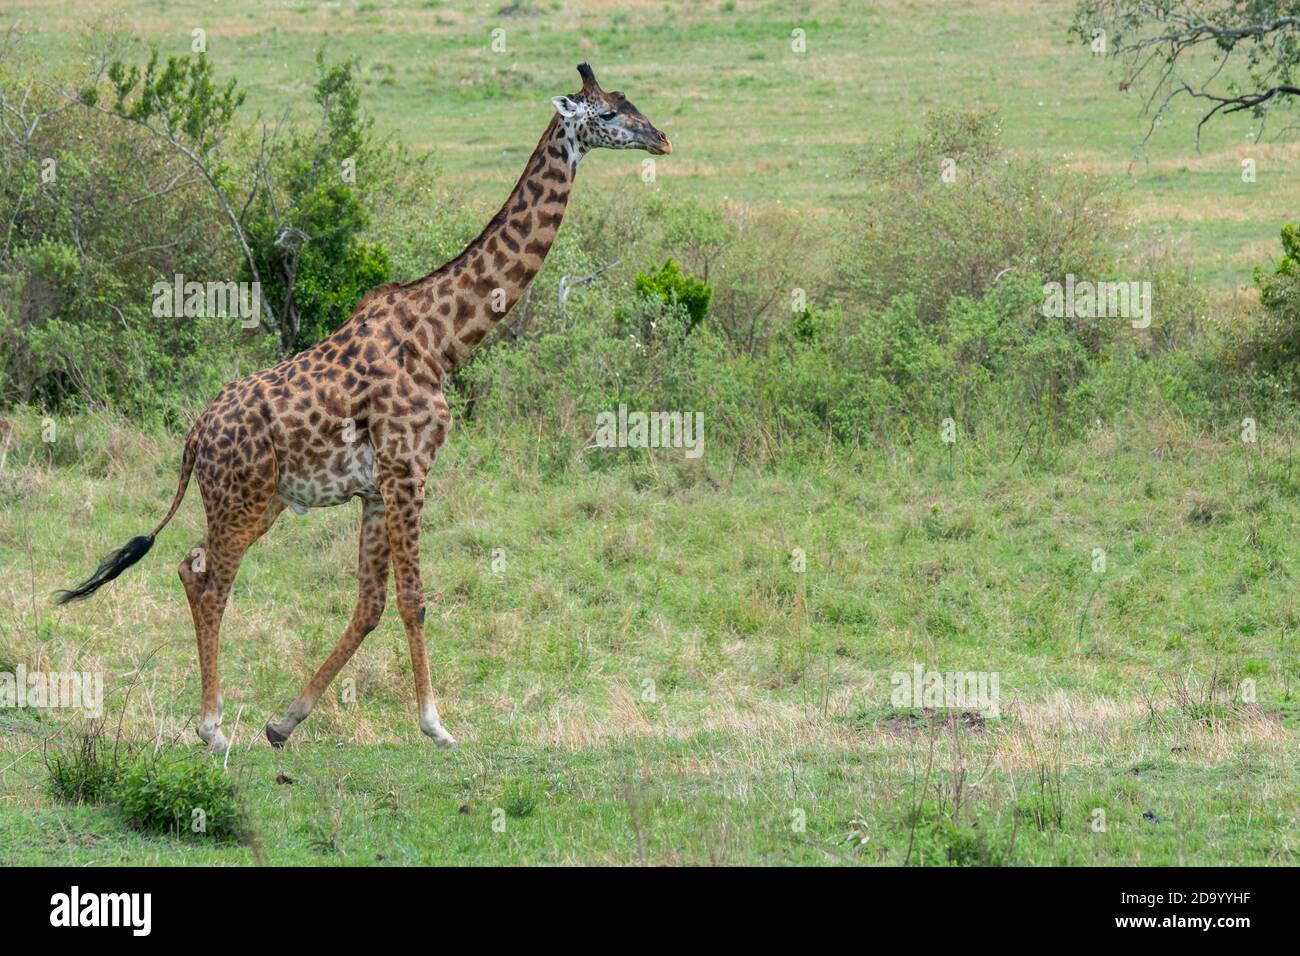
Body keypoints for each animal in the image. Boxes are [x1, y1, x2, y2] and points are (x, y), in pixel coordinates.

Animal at [55, 63, 671, 754]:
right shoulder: (409, 469)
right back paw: (211, 728)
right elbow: (414, 597)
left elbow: (371, 603)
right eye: (609, 114)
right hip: (241, 499)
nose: (662, 139)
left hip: (263, 501)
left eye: (630, 103)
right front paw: (436, 725)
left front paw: (285, 720)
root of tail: (194, 436)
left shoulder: (377, 488)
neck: (442, 339)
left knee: (192, 565)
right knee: (209, 578)